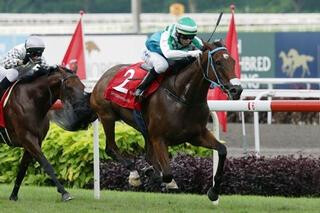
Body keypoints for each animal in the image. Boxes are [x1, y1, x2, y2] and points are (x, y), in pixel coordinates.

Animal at [1, 66, 90, 201]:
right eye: (69, 86)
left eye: (82, 86)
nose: (83, 109)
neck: (31, 101)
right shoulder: (28, 139)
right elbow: (47, 165)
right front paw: (64, 193)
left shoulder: (34, 141)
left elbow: (22, 169)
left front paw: (13, 196)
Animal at [81, 40, 241, 202]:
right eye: (218, 62)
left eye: (233, 61)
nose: (237, 90)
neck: (183, 97)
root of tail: (102, 78)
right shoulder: (159, 138)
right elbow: (167, 174)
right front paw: (151, 174)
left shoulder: (197, 135)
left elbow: (222, 150)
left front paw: (214, 191)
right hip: (107, 116)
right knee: (111, 148)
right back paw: (134, 174)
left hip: (144, 129)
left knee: (147, 154)